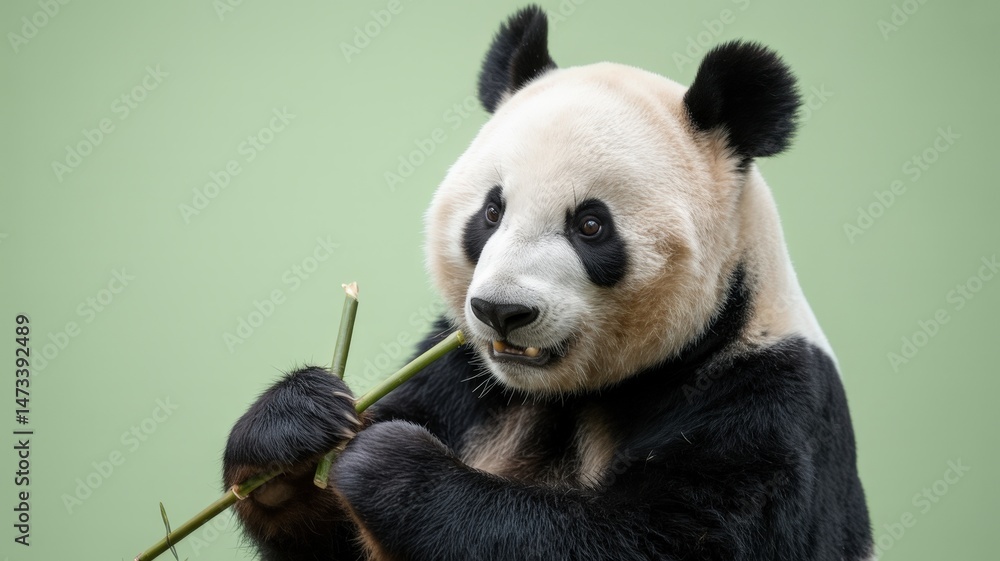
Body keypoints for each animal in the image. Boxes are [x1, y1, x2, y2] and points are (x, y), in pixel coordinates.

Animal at [223, 5, 872, 560]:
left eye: (590, 224)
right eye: (491, 212)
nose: (502, 312)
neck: (569, 395)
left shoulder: (764, 402)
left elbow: (660, 538)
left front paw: (389, 463)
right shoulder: (463, 379)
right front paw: (296, 436)